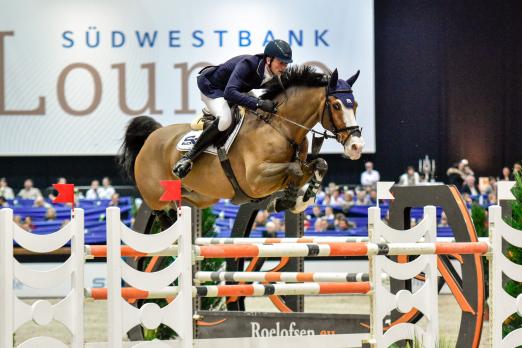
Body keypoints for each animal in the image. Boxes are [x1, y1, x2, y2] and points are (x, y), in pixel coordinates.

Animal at [117, 65, 362, 218]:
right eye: (336, 105)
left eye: (356, 104)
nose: (356, 147)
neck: (281, 127)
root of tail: (151, 138)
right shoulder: (255, 179)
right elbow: (294, 169)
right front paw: (286, 201)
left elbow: (319, 165)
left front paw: (297, 201)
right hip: (155, 197)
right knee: (160, 219)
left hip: (200, 197)